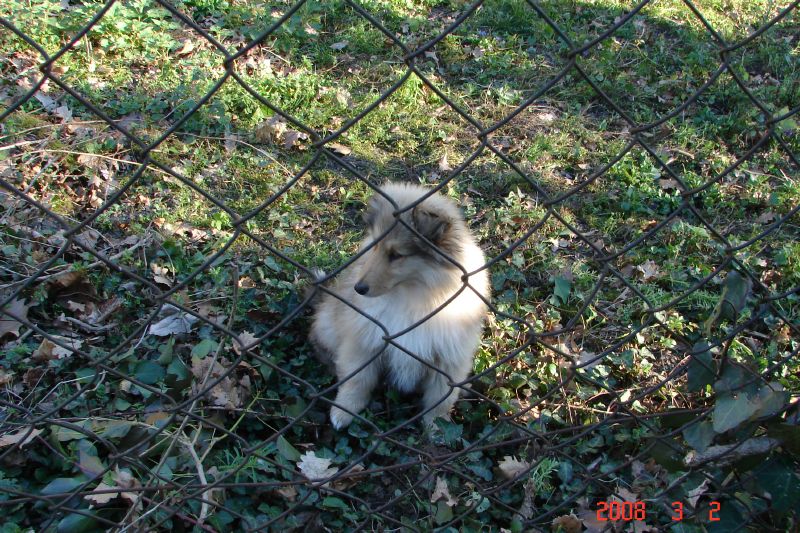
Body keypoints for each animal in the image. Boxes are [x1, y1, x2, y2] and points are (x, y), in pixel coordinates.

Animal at [310, 182, 490, 428]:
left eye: (396, 255)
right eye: (375, 247)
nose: (359, 288)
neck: (412, 296)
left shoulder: (449, 356)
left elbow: (440, 398)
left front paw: (437, 428)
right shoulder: (364, 340)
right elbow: (357, 379)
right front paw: (343, 411)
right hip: (328, 322)